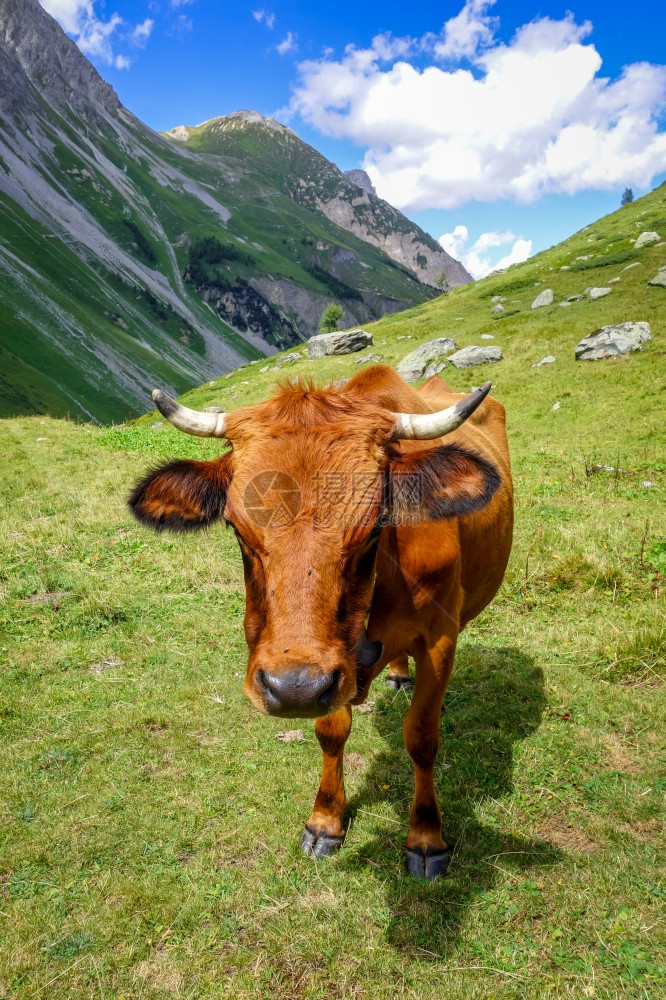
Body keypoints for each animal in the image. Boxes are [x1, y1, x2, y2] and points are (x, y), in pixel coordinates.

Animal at [130, 364, 512, 880]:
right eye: (236, 528)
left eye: (375, 525)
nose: (292, 689)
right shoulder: (332, 667)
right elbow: (331, 731)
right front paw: (326, 821)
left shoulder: (439, 639)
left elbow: (421, 737)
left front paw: (426, 838)